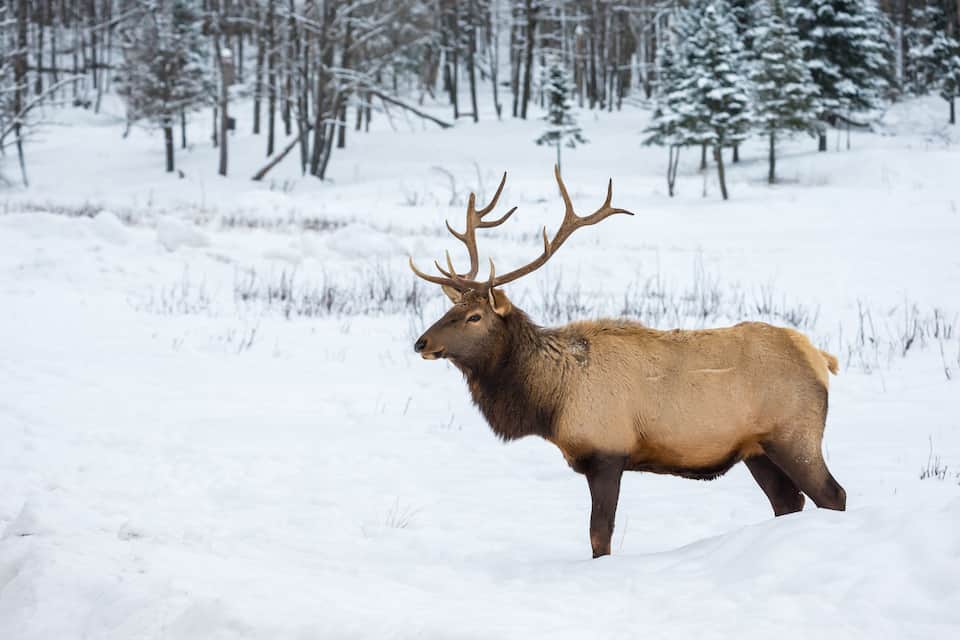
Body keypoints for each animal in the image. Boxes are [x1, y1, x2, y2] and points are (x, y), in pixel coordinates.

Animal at [410, 167, 846, 558]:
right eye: (452, 309)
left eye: (474, 317)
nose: (421, 343)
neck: (551, 400)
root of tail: (820, 358)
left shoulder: (606, 452)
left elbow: (598, 536)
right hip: (756, 450)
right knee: (788, 502)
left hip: (794, 434)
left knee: (832, 494)